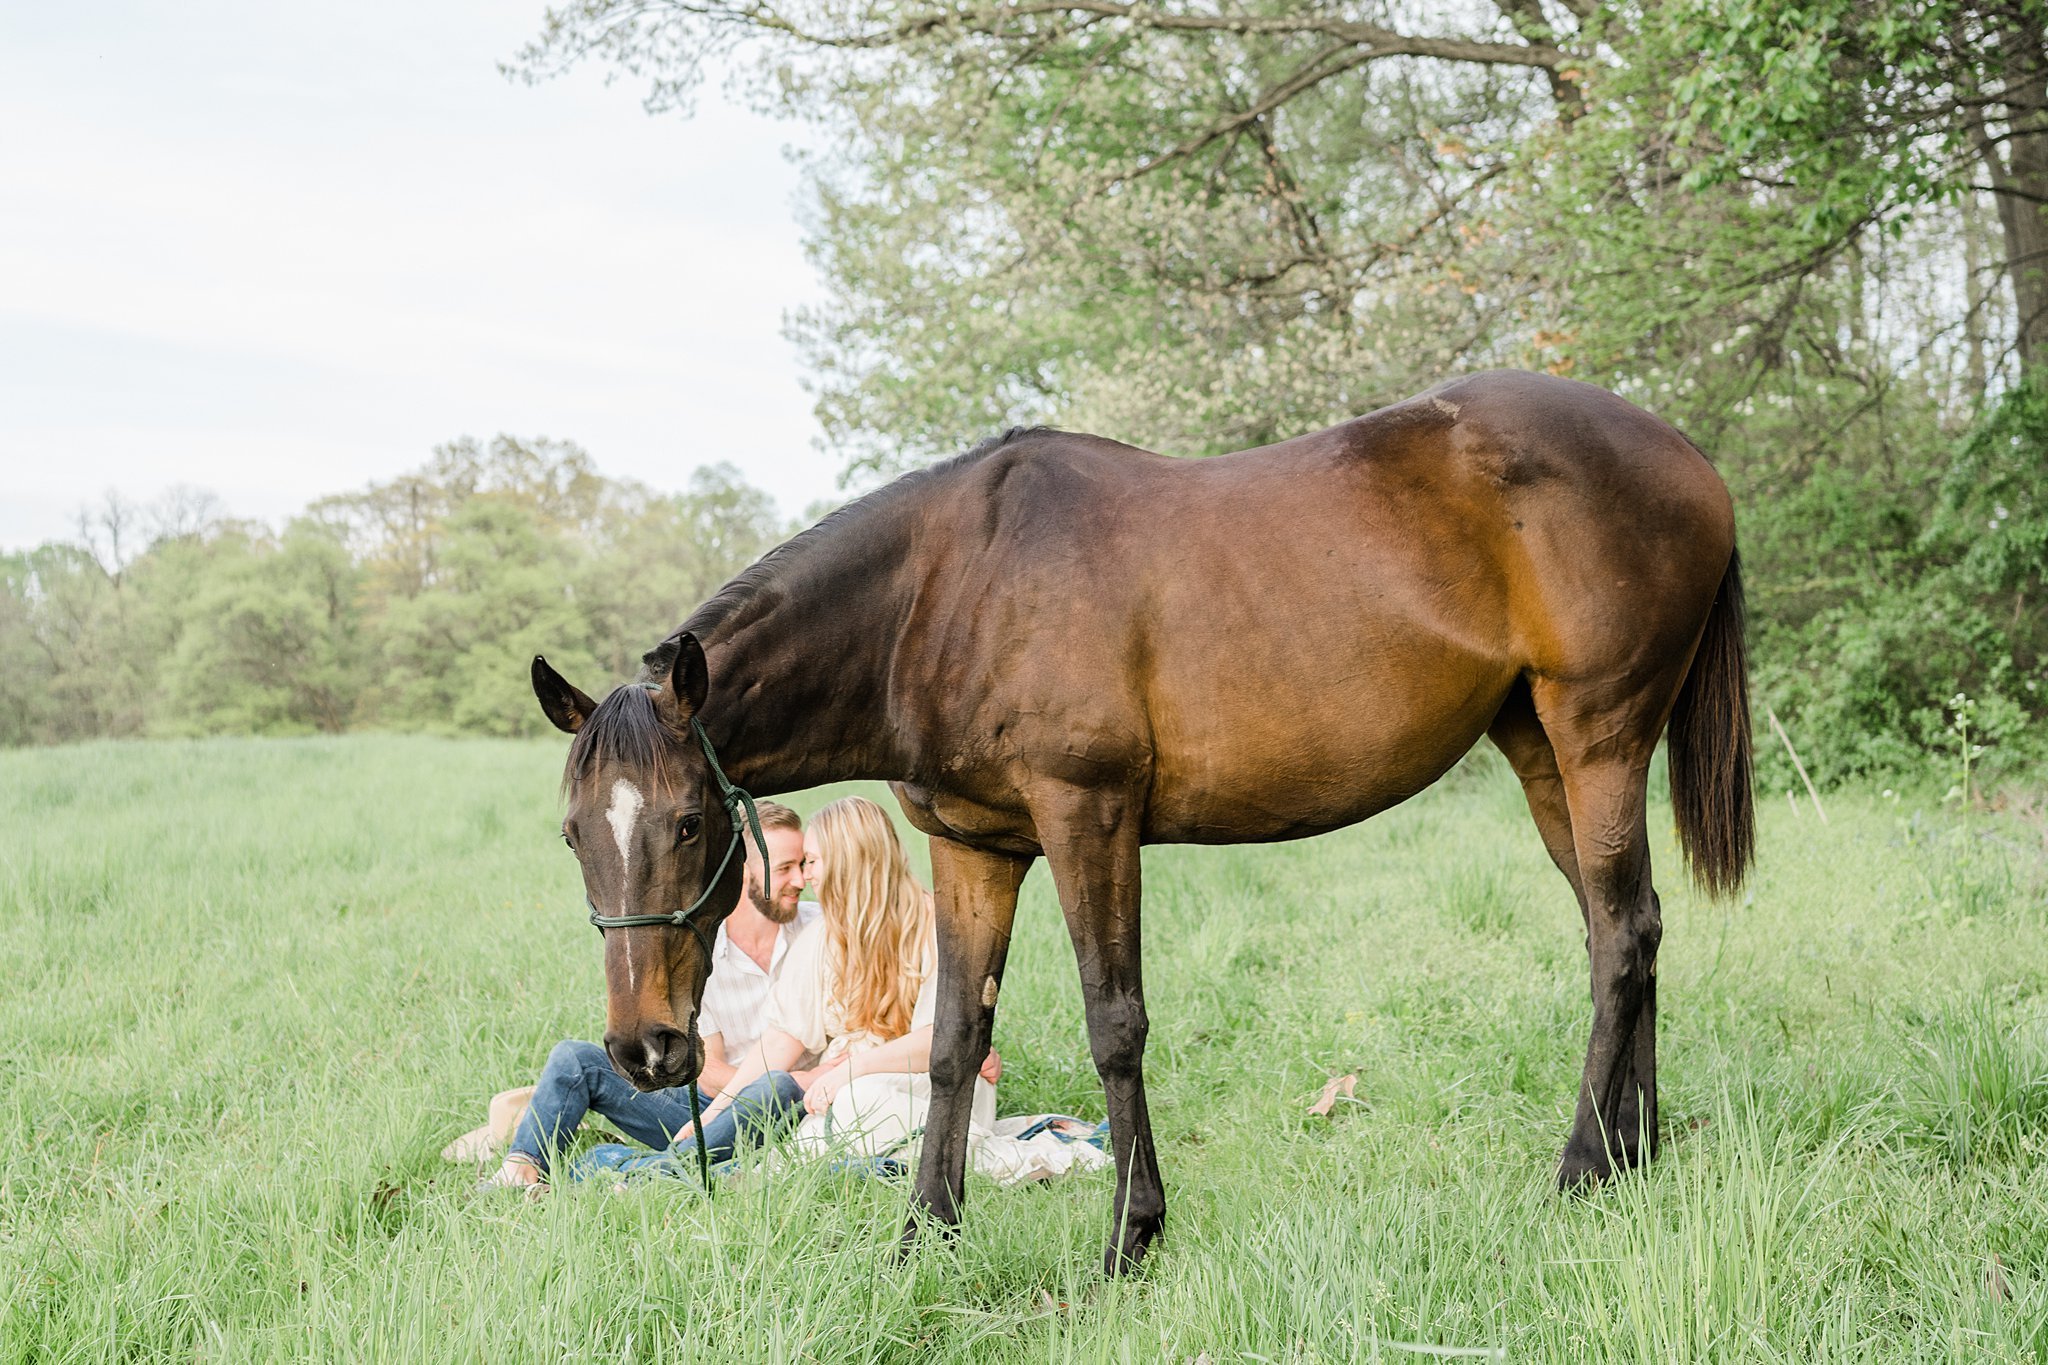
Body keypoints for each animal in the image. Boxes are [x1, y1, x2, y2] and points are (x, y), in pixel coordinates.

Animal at [536, 368, 1753, 1277]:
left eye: (688, 822)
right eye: (574, 834)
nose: (646, 1049)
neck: (945, 592)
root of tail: (1688, 460)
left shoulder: (1089, 817)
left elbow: (1113, 1022)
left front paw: (1131, 1235)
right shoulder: (975, 845)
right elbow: (952, 1039)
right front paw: (924, 1235)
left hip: (1597, 737)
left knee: (1619, 937)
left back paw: (1581, 1168)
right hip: (1537, 747)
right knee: (1627, 928)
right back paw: (1632, 1156)